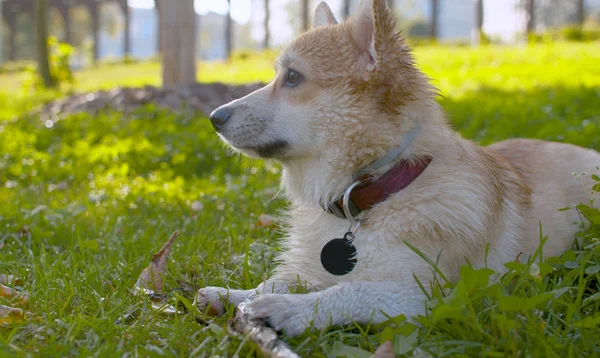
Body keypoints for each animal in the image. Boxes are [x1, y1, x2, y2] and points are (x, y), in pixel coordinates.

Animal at [197, 0, 600, 336]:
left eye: (293, 77)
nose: (214, 117)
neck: (378, 189)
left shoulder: (431, 297)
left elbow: (350, 291)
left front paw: (290, 309)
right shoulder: (312, 268)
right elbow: (275, 281)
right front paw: (232, 294)